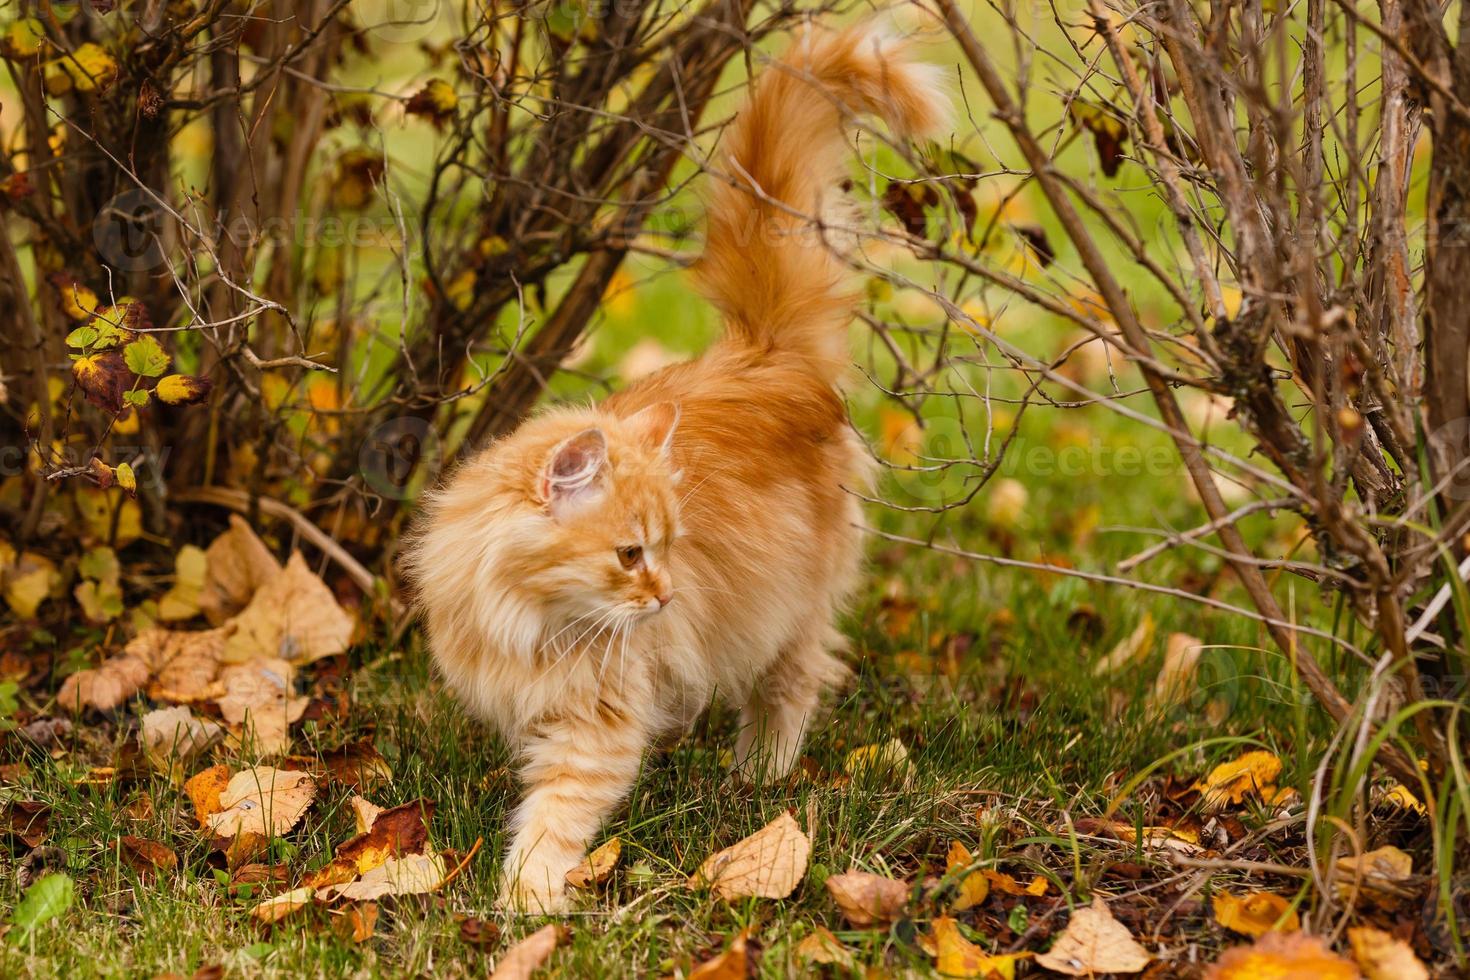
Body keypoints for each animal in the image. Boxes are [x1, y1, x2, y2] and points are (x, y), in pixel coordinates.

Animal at [408, 22, 946, 910]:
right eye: (631, 554)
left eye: (664, 550)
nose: (664, 598)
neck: (525, 617)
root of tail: (766, 354)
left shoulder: (594, 726)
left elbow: (553, 817)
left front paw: (526, 902)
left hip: (792, 607)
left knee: (793, 682)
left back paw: (759, 775)